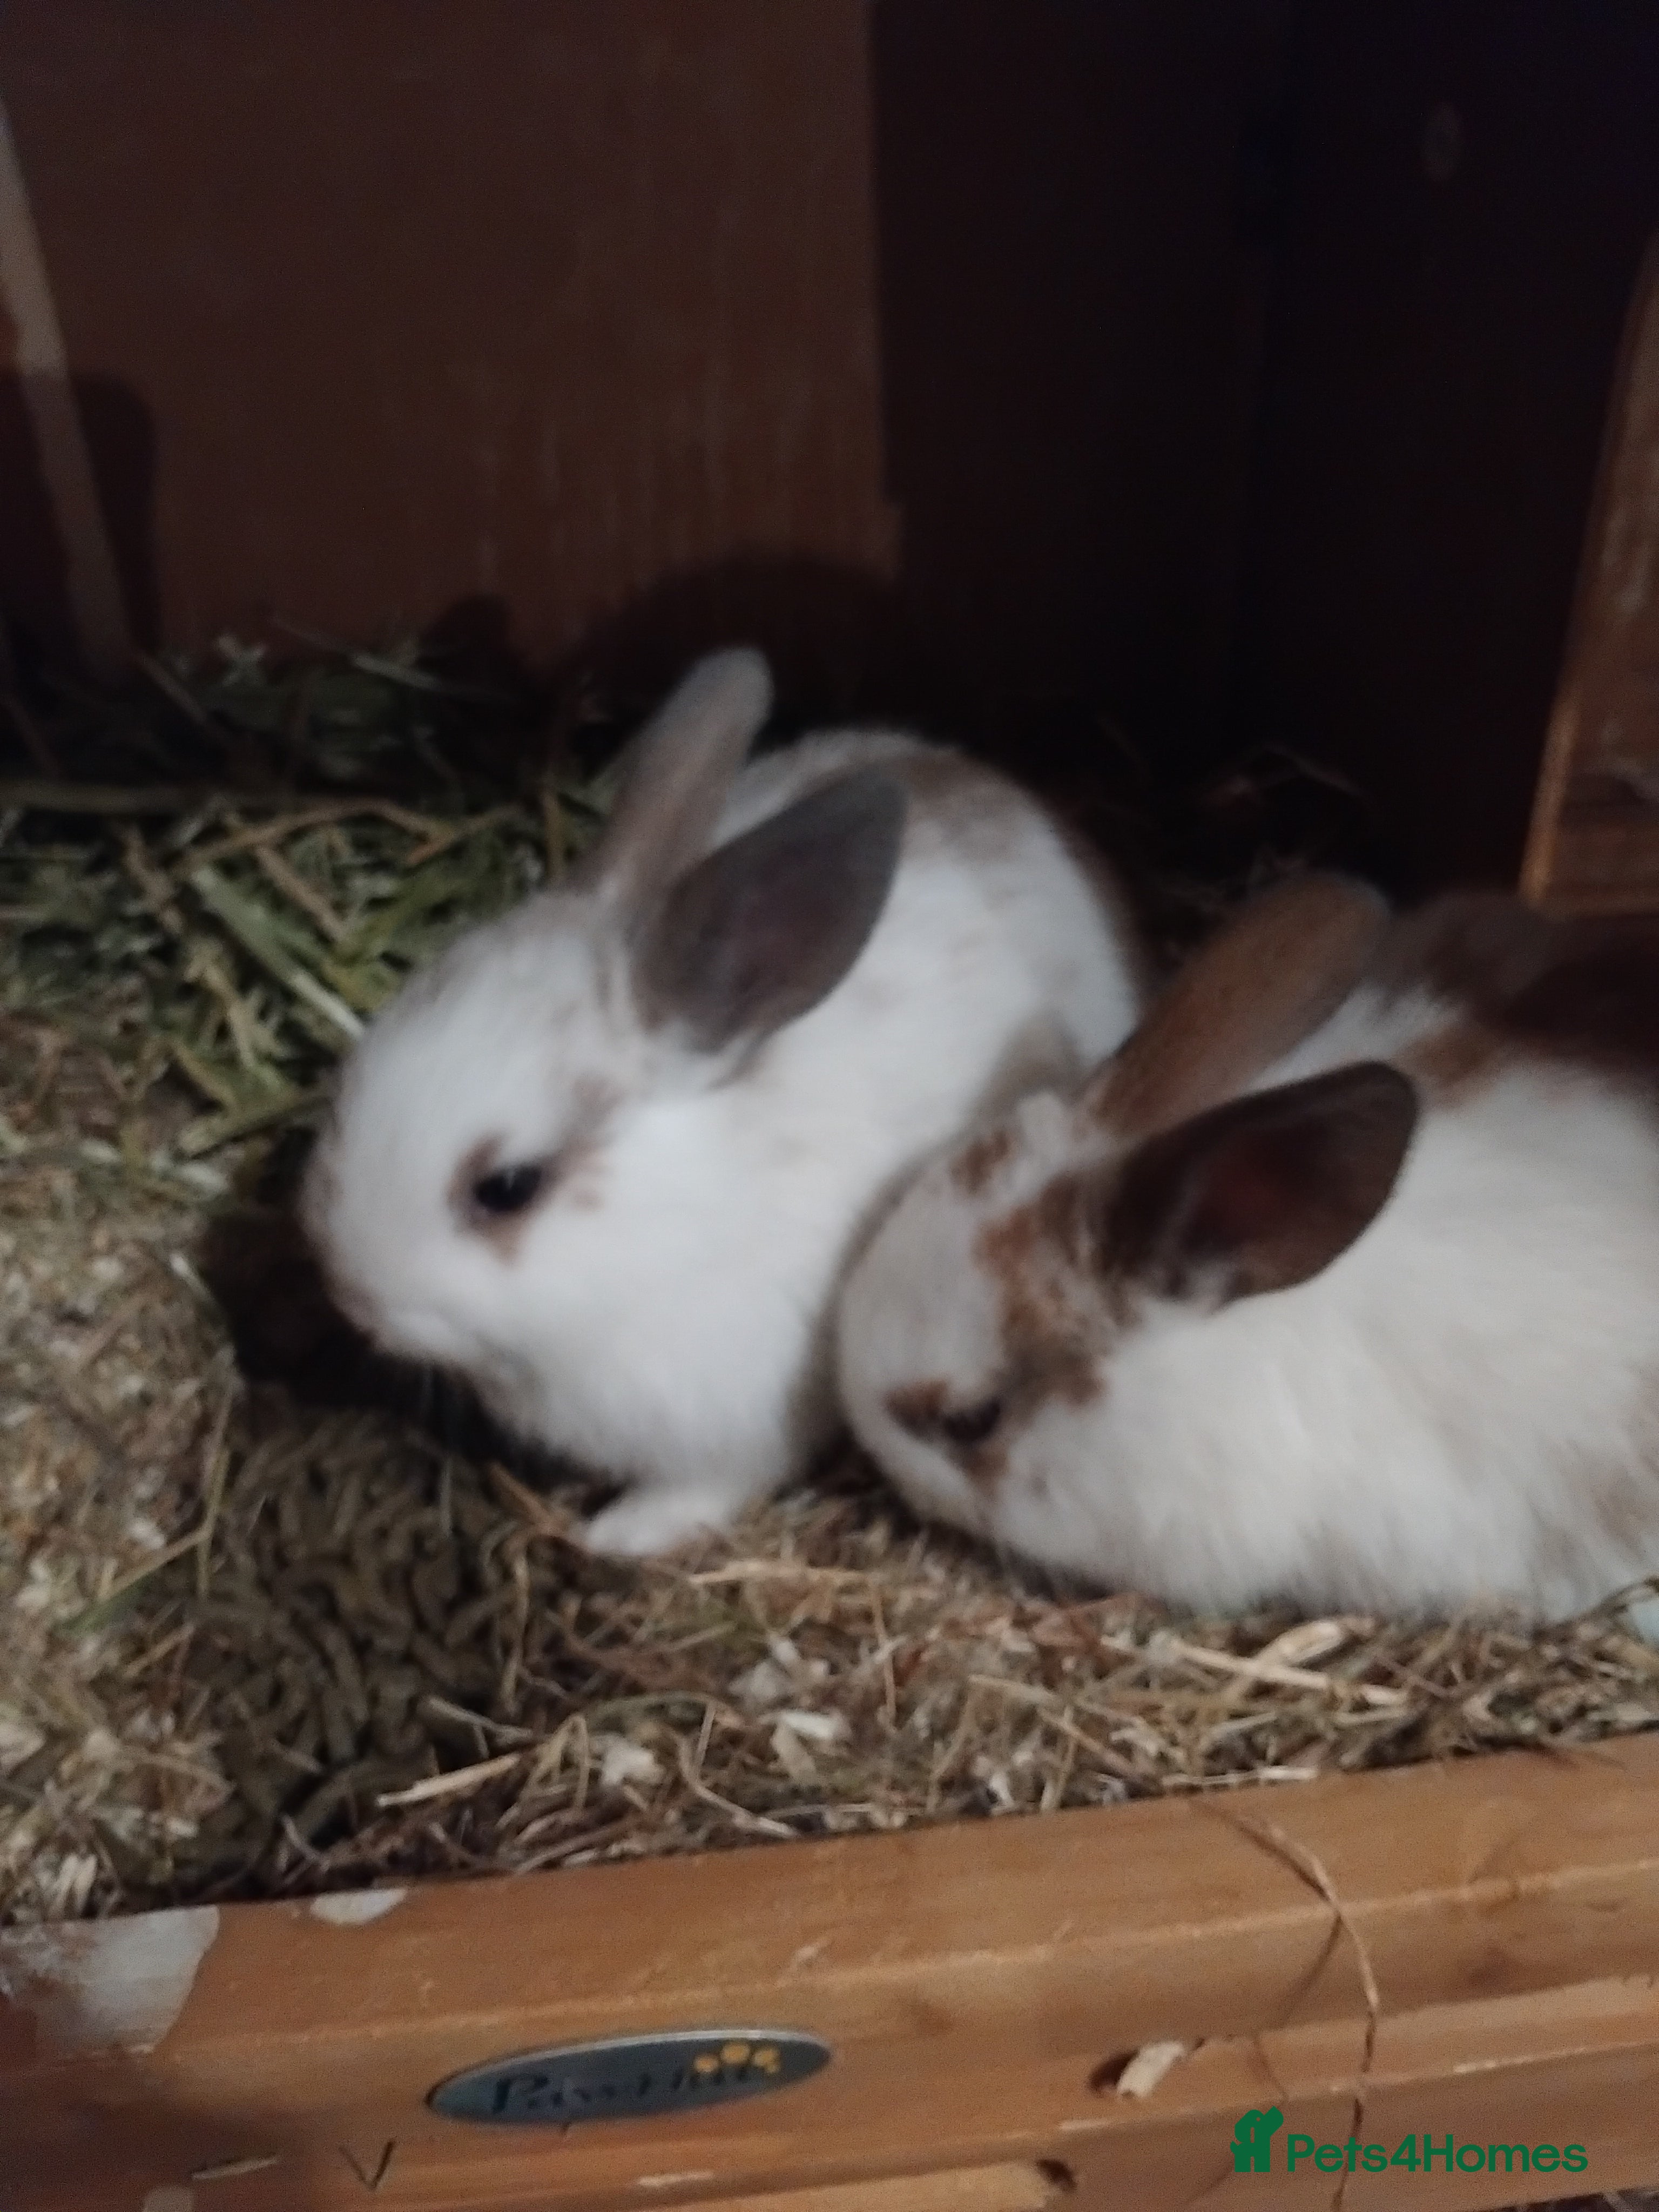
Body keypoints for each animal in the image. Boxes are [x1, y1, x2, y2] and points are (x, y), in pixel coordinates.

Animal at [301, 646, 1147, 1557]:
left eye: (507, 1188)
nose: (349, 1293)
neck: (682, 1227)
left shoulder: (737, 1426)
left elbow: (704, 1488)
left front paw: (617, 1536)